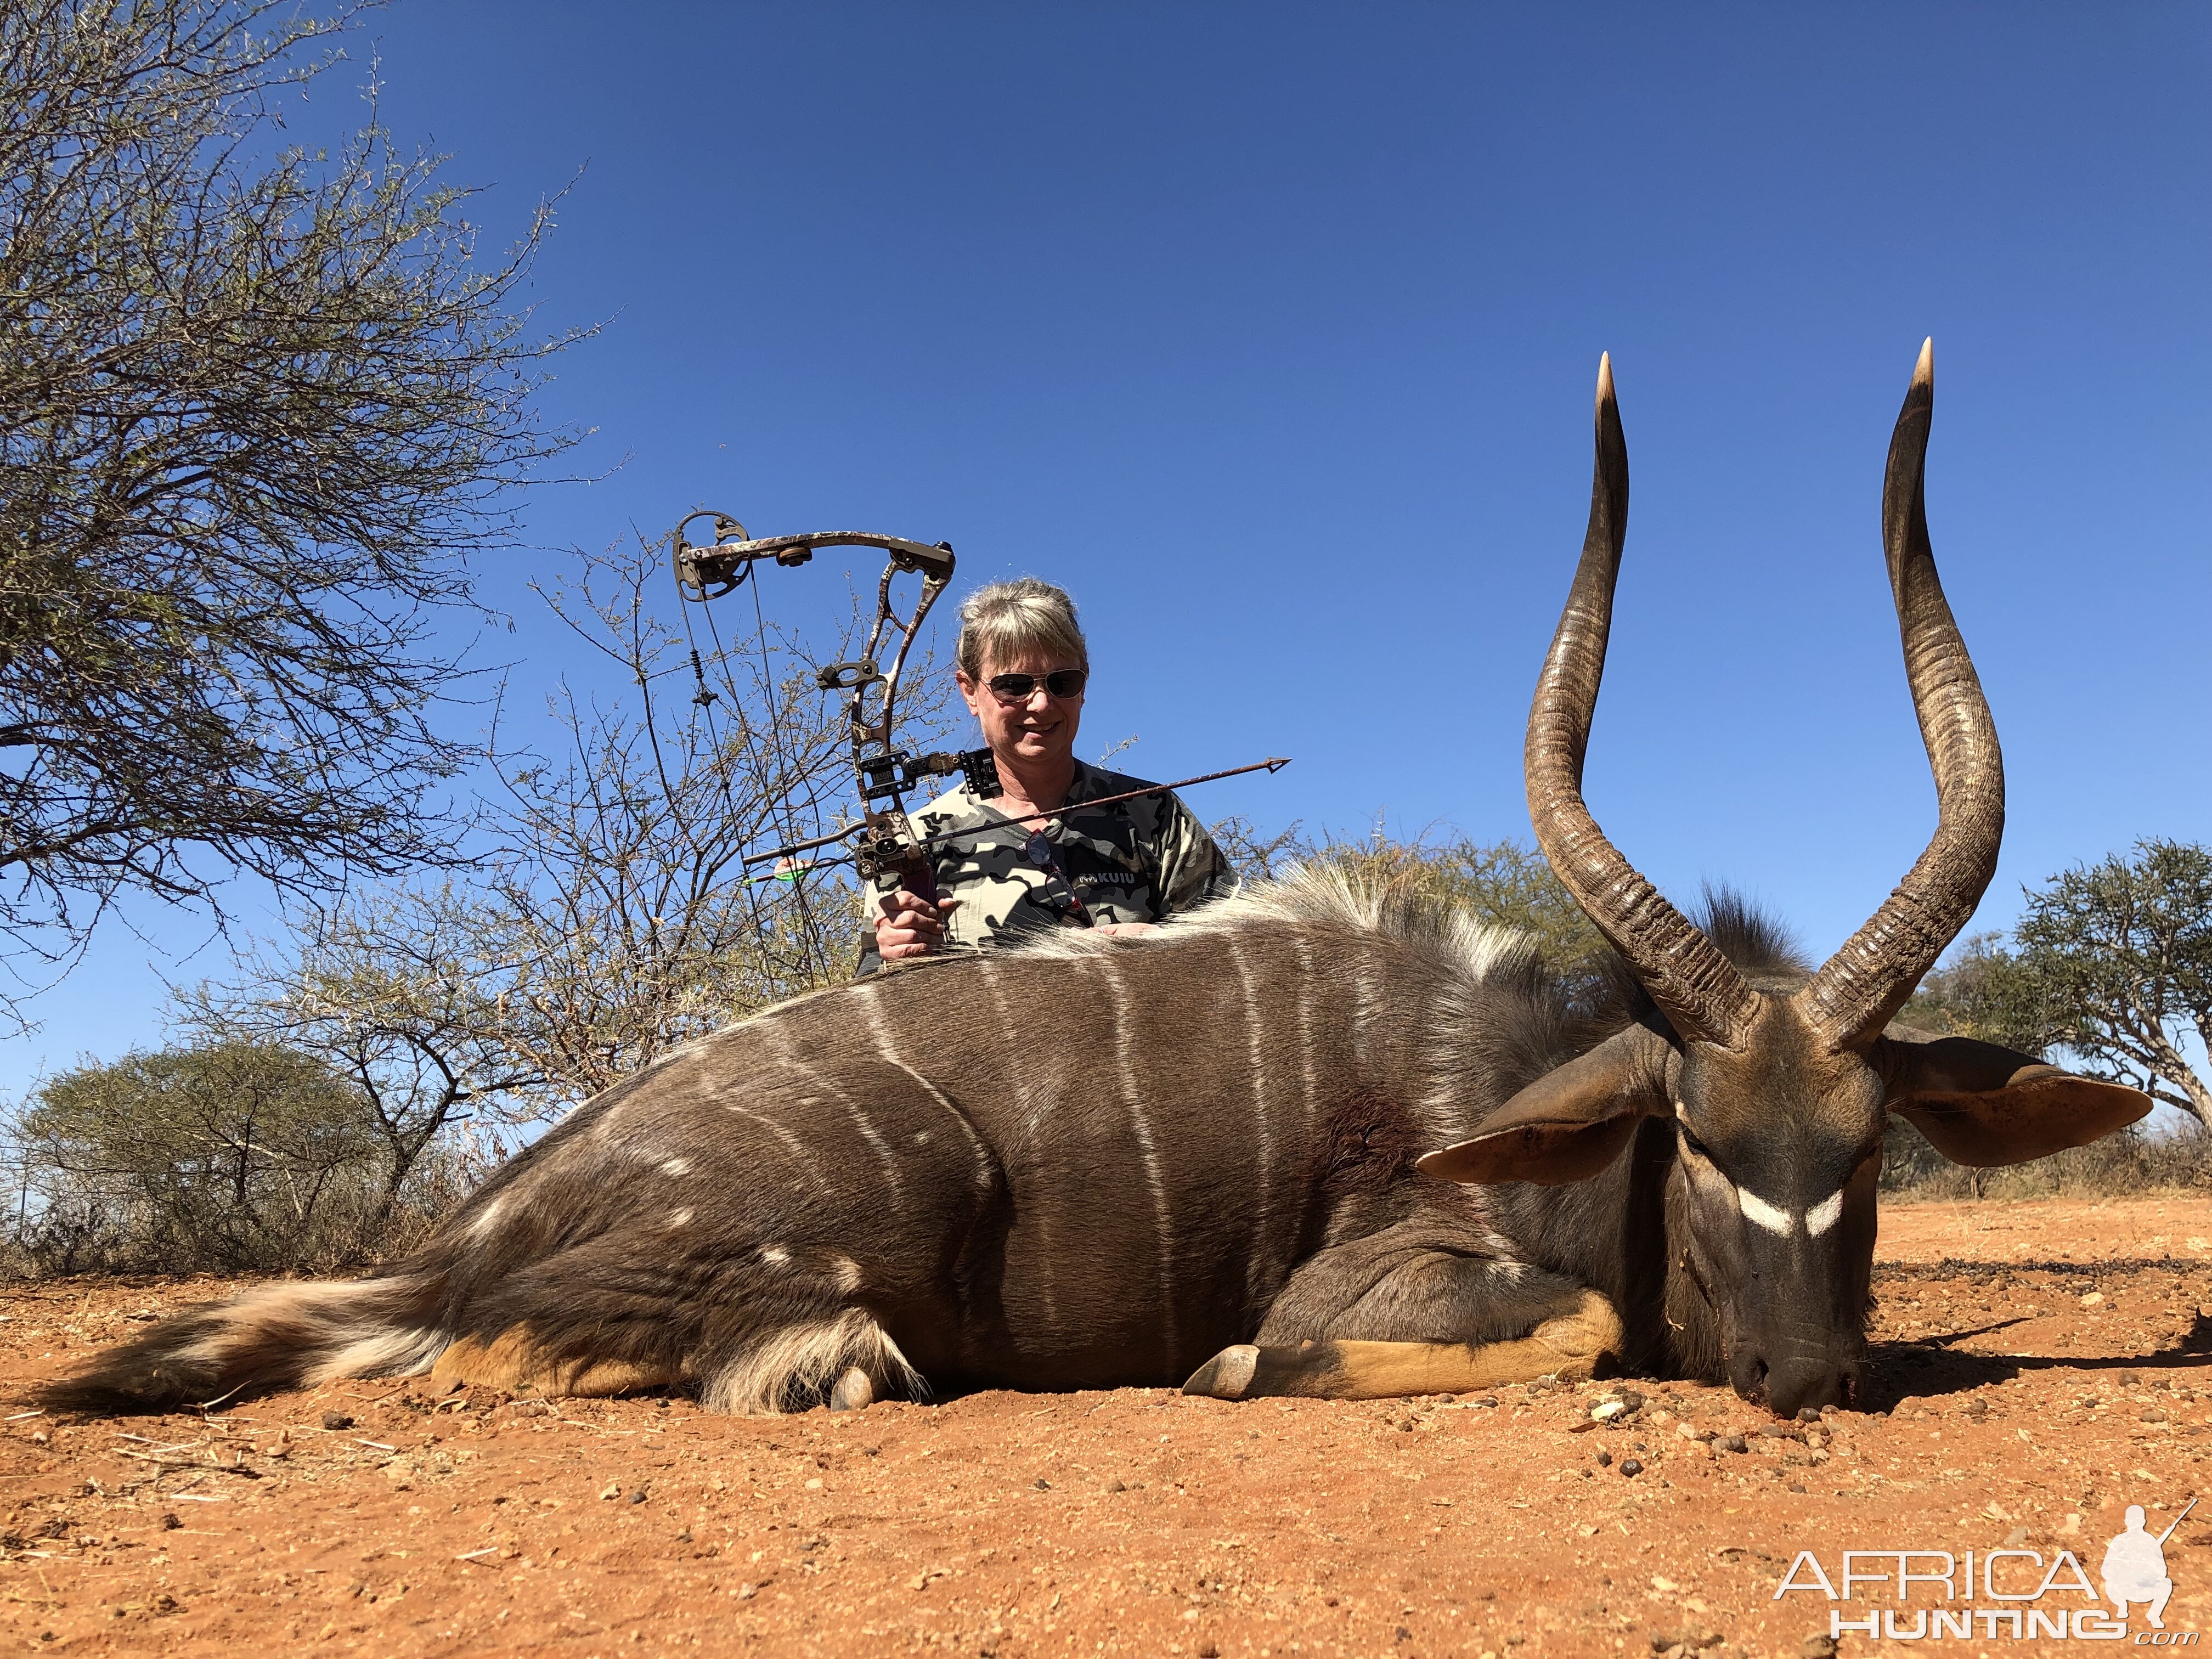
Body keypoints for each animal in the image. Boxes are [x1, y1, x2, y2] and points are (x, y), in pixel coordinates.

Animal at [47, 340, 2159, 1433]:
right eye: (1701, 1142)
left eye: (1869, 1146)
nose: (1809, 1374)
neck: (1517, 1091)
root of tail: (480, 1219)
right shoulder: (1389, 1270)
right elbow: (1505, 1334)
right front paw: (1227, 1360)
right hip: (870, 1211)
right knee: (555, 1348)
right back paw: (825, 1364)